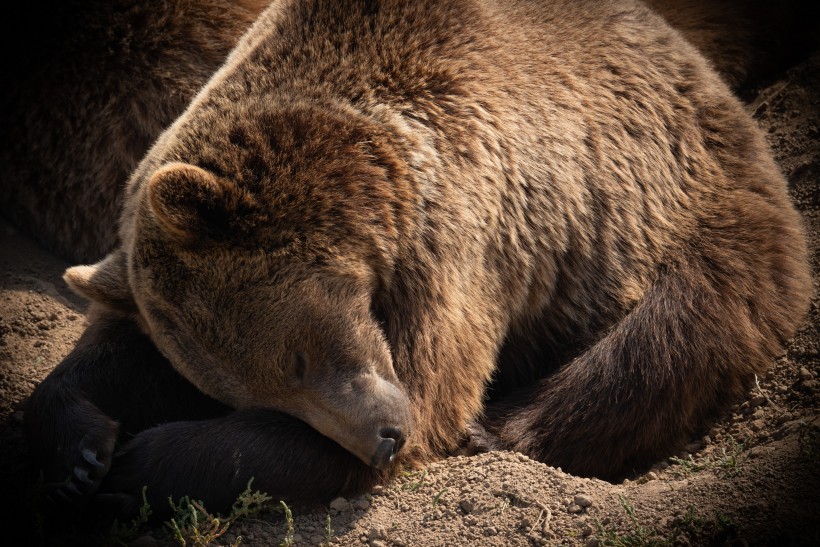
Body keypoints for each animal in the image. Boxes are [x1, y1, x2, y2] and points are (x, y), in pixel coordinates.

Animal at [22, 0, 812, 520]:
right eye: (254, 390)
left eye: (297, 359)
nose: (381, 438)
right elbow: (114, 347)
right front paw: (78, 451)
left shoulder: (460, 233)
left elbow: (430, 390)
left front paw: (139, 462)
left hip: (672, 198)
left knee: (672, 332)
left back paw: (500, 427)